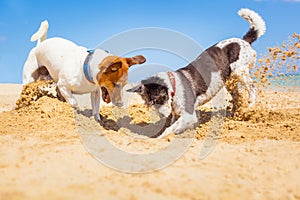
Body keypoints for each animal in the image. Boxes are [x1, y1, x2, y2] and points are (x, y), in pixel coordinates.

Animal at [126, 8, 264, 138]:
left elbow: (170, 129)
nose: (160, 116)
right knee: (237, 97)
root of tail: (244, 41)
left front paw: (160, 138)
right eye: (149, 104)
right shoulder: (176, 114)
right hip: (229, 80)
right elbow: (172, 124)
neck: (174, 88)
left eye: (158, 98)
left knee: (253, 90)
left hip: (240, 71)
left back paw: (249, 108)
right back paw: (234, 116)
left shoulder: (188, 115)